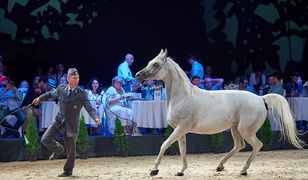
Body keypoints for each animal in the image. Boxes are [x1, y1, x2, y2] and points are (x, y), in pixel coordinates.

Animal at [136, 50, 304, 176]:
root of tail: (260, 98)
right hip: (235, 129)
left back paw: (243, 170)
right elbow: (182, 149)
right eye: (150, 62)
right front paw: (181, 171)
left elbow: (164, 144)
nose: (138, 75)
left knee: (257, 145)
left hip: (246, 130)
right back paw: (220, 166)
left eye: (156, 64)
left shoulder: (181, 128)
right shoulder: (180, 130)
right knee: (239, 145)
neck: (183, 96)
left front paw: (154, 170)